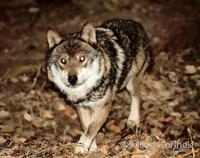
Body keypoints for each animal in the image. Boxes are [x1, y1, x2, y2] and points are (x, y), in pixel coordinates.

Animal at [45, 18, 152, 153]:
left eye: (82, 58)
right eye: (63, 61)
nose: (72, 79)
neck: (85, 91)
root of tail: (136, 23)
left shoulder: (103, 107)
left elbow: (91, 129)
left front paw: (81, 147)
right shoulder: (82, 108)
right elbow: (86, 127)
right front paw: (92, 148)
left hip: (131, 83)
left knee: (137, 96)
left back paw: (133, 120)